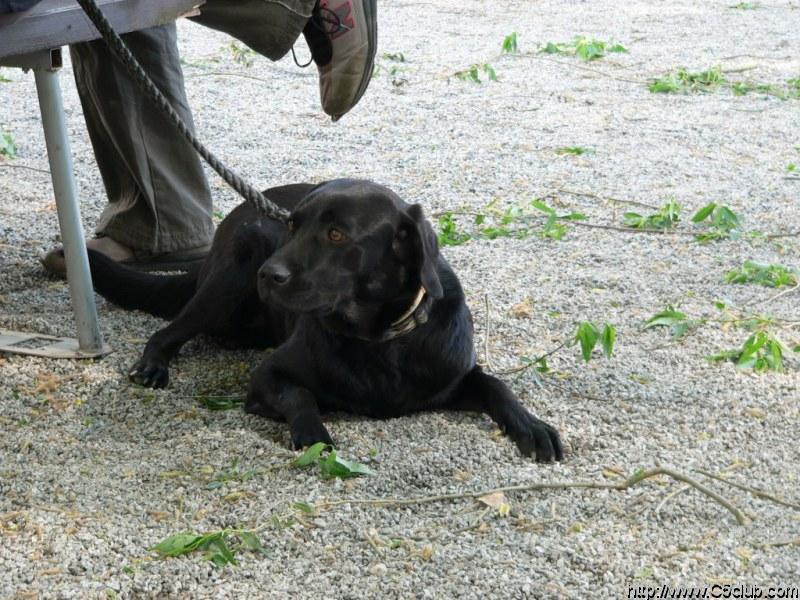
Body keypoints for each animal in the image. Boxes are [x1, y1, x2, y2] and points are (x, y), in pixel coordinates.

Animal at [87, 178, 564, 460]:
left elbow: (496, 385)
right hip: (229, 279)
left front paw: (533, 426)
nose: (269, 275)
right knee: (167, 331)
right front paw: (313, 434)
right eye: (292, 226)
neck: (380, 341)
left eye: (336, 235)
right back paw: (153, 365)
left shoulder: (455, 375)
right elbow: (301, 396)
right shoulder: (268, 375)